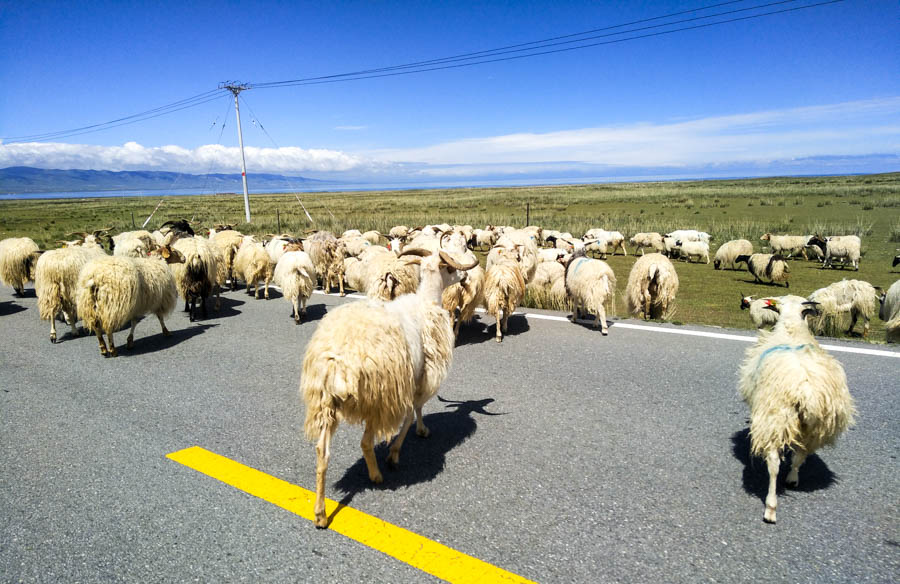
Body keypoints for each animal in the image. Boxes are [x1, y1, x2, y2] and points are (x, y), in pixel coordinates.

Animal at [300, 246, 478, 528]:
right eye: (450, 267)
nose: (464, 277)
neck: (427, 302)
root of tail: (339, 364)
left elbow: (416, 411)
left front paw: (420, 430)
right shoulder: (419, 377)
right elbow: (412, 413)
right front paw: (396, 452)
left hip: (326, 403)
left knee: (322, 452)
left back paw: (320, 514)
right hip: (377, 397)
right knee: (364, 442)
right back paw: (376, 475)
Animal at [740, 296, 856, 524]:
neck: (792, 328)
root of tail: (806, 391)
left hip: (776, 418)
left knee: (774, 464)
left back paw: (771, 508)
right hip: (815, 427)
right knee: (800, 456)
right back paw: (792, 479)